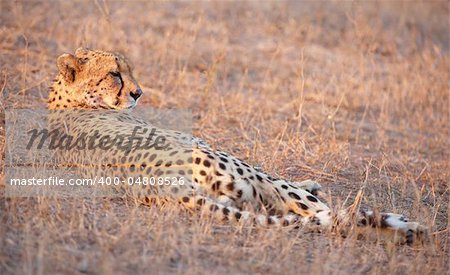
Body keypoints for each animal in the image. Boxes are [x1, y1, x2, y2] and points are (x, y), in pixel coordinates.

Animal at [46, 48, 428, 246]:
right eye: (115, 74)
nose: (139, 93)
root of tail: (165, 187)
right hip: (239, 169)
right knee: (323, 214)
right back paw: (406, 227)